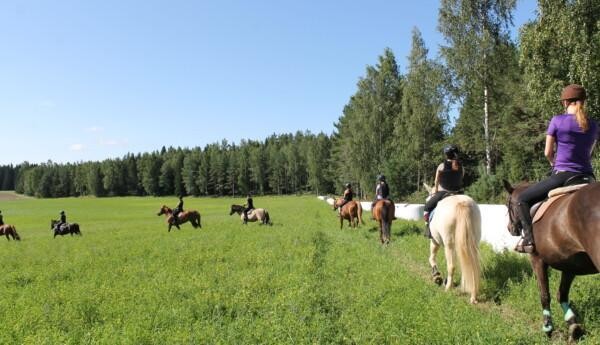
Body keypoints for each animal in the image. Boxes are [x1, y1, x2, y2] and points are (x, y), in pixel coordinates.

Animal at [504, 179, 596, 340]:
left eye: (508, 205)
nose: (510, 228)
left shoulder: (537, 260)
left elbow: (544, 295)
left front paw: (548, 327)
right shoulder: (570, 264)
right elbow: (562, 295)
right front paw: (573, 325)